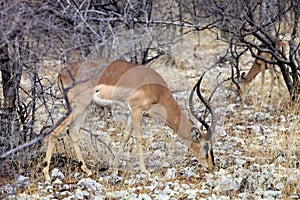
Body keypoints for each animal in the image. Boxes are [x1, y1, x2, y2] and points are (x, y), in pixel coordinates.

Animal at [42, 57, 216, 181]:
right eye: (206, 146)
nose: (212, 167)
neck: (156, 89)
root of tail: (62, 72)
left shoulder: (132, 113)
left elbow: (125, 136)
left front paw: (113, 169)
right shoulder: (137, 110)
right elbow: (138, 138)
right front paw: (145, 170)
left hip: (85, 107)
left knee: (73, 132)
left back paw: (87, 170)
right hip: (78, 105)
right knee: (55, 132)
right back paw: (47, 174)